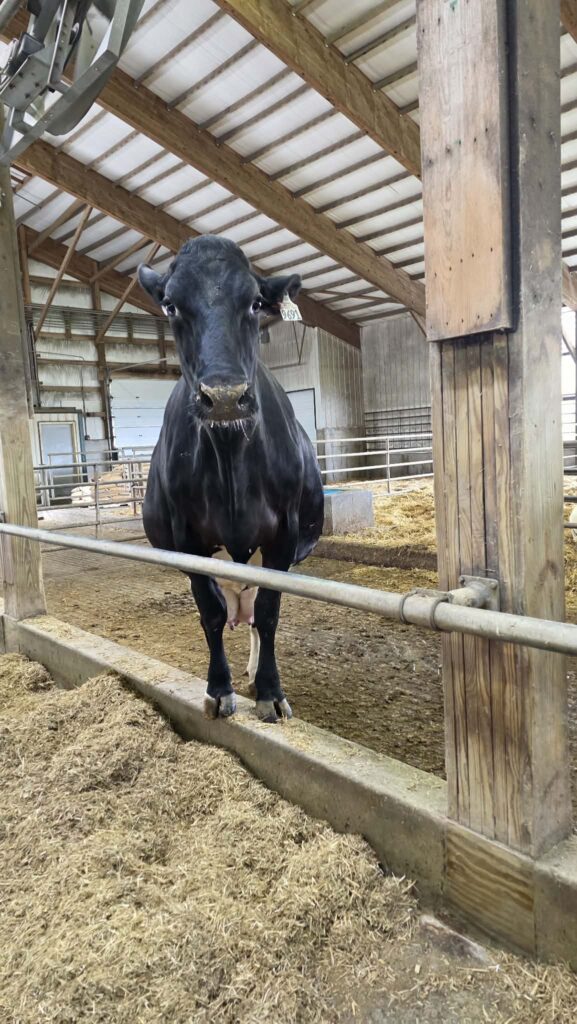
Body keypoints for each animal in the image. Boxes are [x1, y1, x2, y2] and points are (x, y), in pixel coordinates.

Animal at [138, 235, 324, 723]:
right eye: (170, 305)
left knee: (256, 614)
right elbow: (211, 615)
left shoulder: (285, 534)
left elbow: (271, 612)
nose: (223, 396)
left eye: (256, 302)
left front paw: (270, 692)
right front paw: (218, 689)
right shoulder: (187, 538)